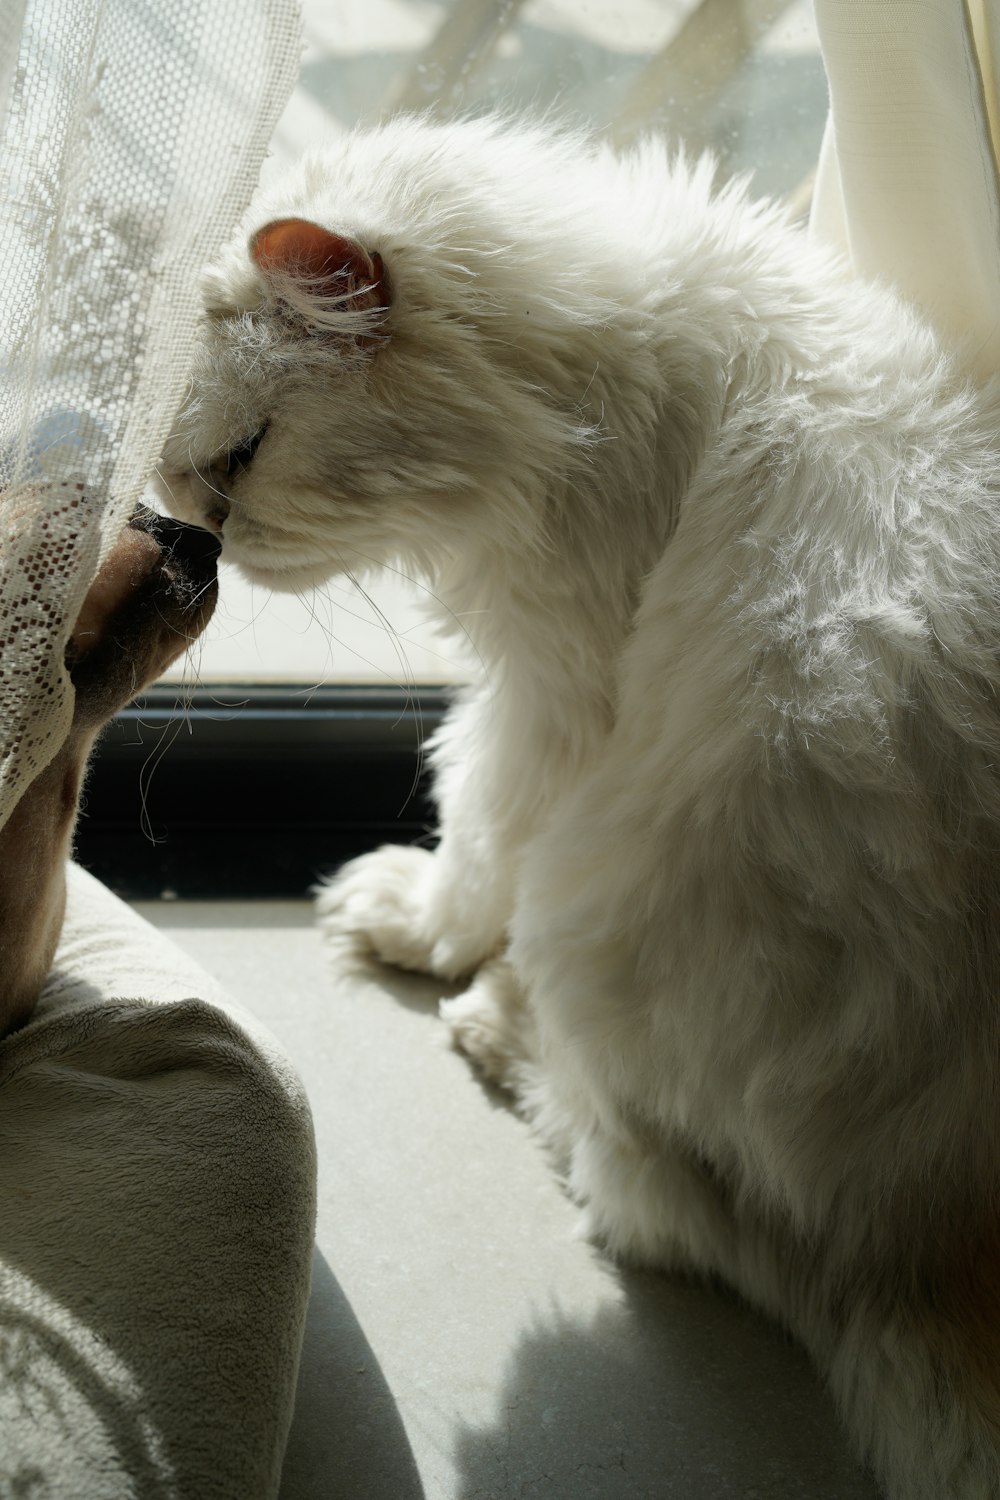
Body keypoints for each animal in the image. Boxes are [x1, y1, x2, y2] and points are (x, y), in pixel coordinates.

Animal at [158, 117, 1000, 1500]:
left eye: (236, 460)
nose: (186, 528)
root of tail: (930, 1255)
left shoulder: (547, 701)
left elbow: (468, 830)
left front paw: (407, 921)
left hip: (592, 920)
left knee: (672, 1212)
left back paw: (502, 1032)